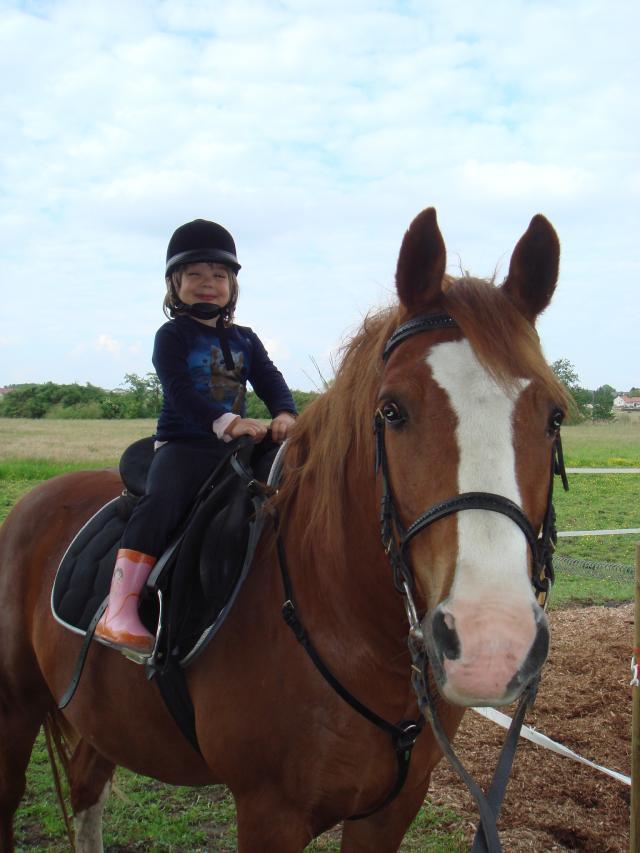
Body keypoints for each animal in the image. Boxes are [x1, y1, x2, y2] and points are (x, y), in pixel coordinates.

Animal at [0, 206, 567, 852]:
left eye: (554, 416)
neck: (351, 626)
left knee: (87, 784)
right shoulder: (269, 813)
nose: (491, 644)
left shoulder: (392, 811)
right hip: (15, 707)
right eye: (391, 411)